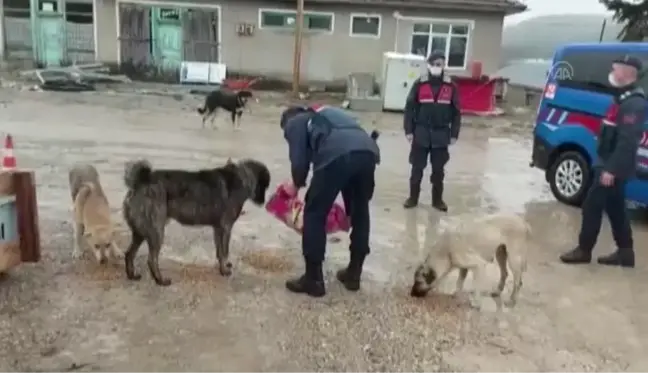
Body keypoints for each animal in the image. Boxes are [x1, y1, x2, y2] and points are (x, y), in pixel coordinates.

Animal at [122, 157, 270, 284]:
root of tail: (140, 181)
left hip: (140, 232)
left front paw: (223, 266)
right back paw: (160, 281)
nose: (263, 202)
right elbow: (224, 251)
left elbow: (220, 252)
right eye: (264, 186)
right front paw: (224, 271)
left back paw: (132, 275)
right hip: (156, 232)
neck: (241, 178)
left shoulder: (218, 229)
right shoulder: (226, 227)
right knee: (151, 259)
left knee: (129, 253)